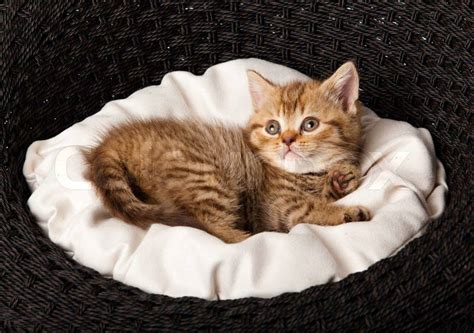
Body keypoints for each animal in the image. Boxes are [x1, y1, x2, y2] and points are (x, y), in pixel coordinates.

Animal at [84, 62, 370, 243]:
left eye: (310, 124)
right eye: (273, 127)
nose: (287, 140)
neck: (306, 174)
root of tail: (116, 140)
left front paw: (341, 178)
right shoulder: (280, 204)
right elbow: (309, 210)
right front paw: (345, 213)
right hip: (205, 175)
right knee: (212, 226)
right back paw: (245, 237)